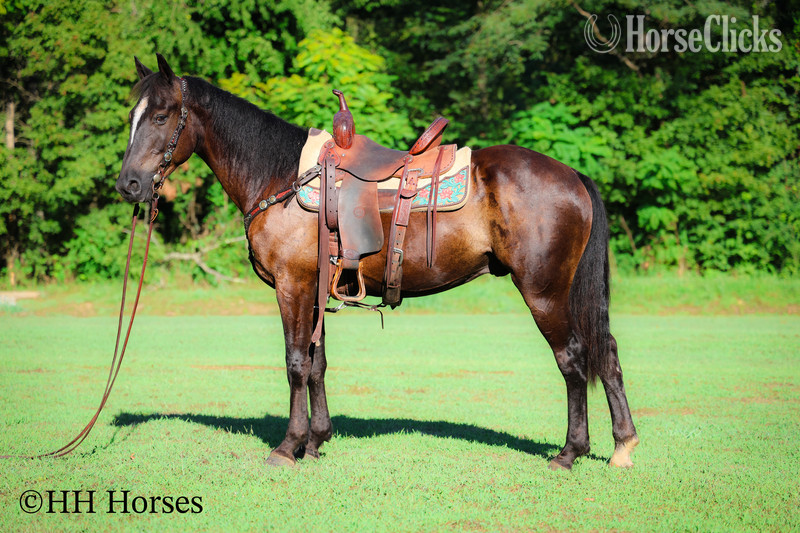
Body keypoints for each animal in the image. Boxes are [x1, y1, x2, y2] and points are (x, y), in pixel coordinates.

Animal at [116, 54, 638, 471]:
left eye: (160, 116)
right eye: (132, 115)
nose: (129, 185)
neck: (280, 176)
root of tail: (572, 175)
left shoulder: (292, 285)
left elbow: (295, 363)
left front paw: (287, 447)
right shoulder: (316, 291)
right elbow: (317, 362)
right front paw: (315, 442)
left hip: (544, 292)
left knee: (573, 358)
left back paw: (569, 453)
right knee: (608, 353)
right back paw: (622, 445)